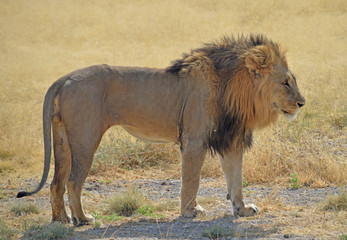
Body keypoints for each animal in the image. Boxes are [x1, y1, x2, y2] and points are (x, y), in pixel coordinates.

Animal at [17, 33, 304, 225]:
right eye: (285, 83)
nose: (302, 103)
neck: (236, 90)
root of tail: (64, 78)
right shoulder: (194, 140)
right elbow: (192, 179)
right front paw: (190, 211)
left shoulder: (230, 140)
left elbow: (236, 180)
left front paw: (241, 210)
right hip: (86, 138)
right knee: (73, 180)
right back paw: (83, 219)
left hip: (62, 138)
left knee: (56, 182)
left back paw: (61, 220)